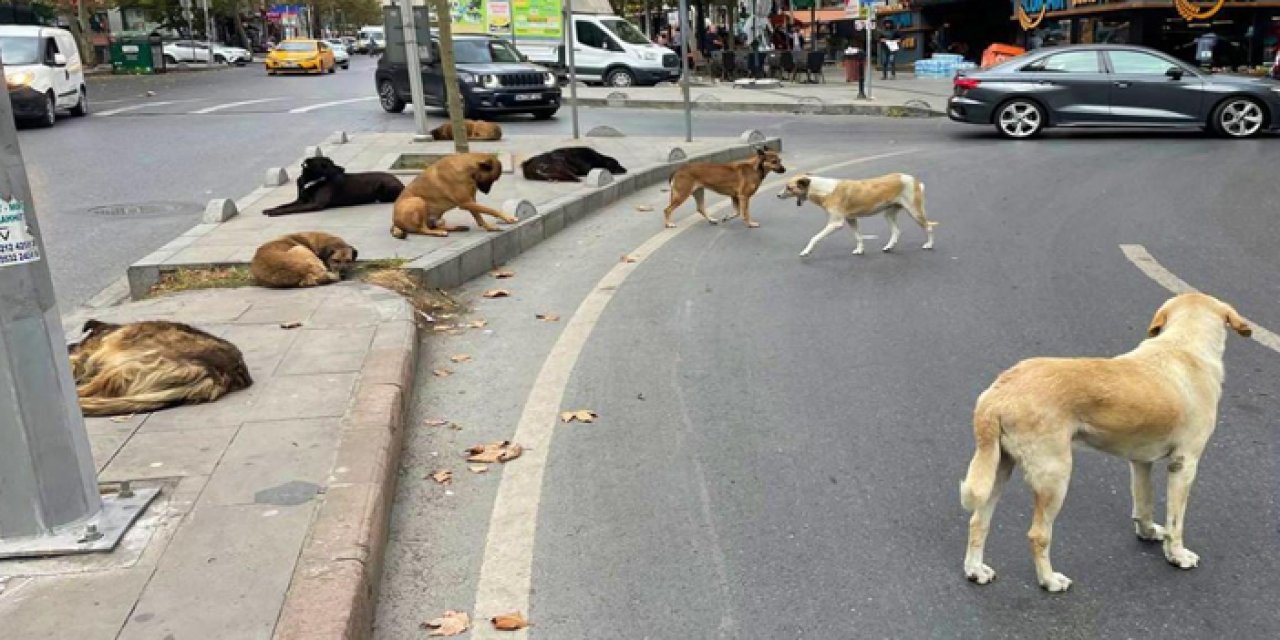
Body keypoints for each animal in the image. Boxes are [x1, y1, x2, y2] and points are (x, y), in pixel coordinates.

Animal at [259, 157, 399, 217]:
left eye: (331, 162)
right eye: (326, 165)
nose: (343, 169)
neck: (311, 180)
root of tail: (400, 182)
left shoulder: (315, 204)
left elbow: (292, 209)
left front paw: (275, 213)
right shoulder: (300, 200)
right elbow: (284, 205)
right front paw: (270, 209)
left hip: (384, 186)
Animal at [773, 174, 936, 258]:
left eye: (789, 187)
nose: (778, 195)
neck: (823, 189)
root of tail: (914, 179)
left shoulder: (836, 223)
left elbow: (814, 237)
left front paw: (807, 251)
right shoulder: (851, 219)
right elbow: (858, 237)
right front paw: (860, 250)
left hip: (914, 212)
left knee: (928, 227)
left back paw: (929, 245)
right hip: (889, 214)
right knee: (896, 231)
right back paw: (889, 247)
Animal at [962, 293, 1249, 591]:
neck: (1183, 345)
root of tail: (998, 393)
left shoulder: (1140, 462)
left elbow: (1143, 503)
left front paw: (1147, 532)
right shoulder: (1185, 464)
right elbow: (1175, 522)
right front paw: (1177, 555)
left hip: (997, 469)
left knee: (978, 521)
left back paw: (975, 570)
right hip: (1054, 477)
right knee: (1037, 535)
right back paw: (1049, 580)